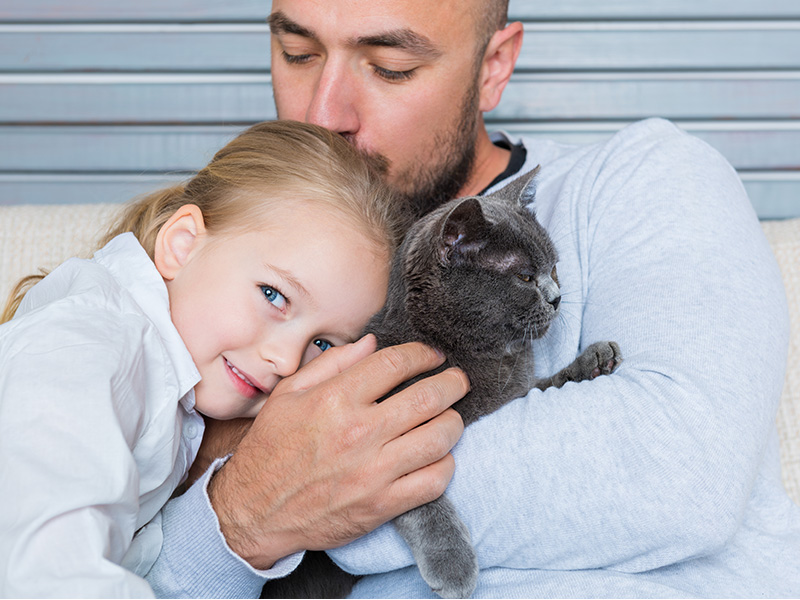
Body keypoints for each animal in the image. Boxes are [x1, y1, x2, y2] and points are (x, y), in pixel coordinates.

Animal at [260, 168, 620, 600]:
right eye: (525, 276)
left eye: (554, 269)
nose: (557, 297)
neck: (474, 354)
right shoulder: (391, 434)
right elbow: (423, 500)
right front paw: (453, 566)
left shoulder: (513, 392)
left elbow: (545, 384)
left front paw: (592, 360)